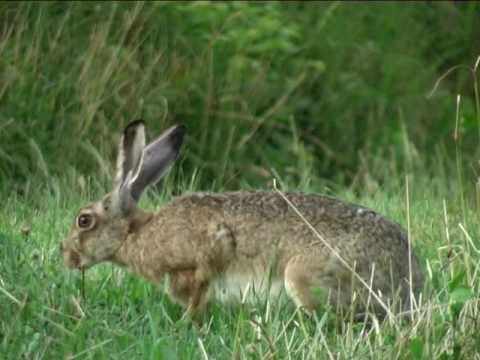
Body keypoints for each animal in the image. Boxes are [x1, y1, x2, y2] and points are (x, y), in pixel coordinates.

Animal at [61, 121, 424, 320]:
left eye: (84, 221)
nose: (67, 257)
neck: (134, 233)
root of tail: (412, 284)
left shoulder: (206, 253)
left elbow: (202, 286)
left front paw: (187, 323)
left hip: (302, 275)